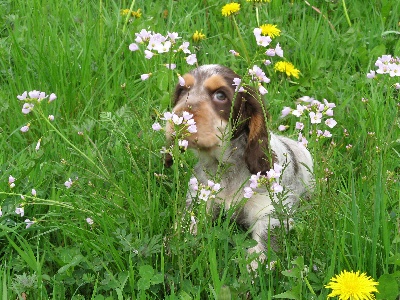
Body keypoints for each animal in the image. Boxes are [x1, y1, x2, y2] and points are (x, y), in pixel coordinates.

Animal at [164, 63, 314, 270]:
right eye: (182, 91)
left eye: (220, 95)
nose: (177, 121)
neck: (226, 166)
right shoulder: (199, 198)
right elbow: (187, 224)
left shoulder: (269, 211)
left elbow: (261, 247)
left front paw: (252, 271)